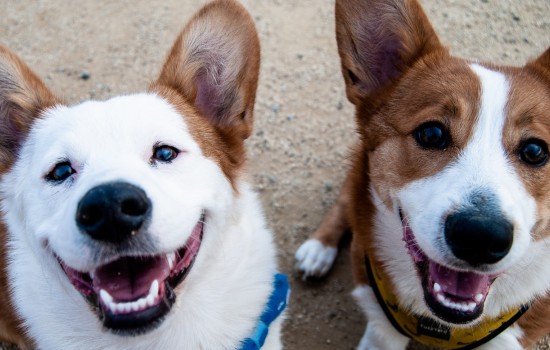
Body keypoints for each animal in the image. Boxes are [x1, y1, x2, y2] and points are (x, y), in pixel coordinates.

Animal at [300, 0, 550, 348]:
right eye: (432, 134)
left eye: (535, 151)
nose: (480, 236)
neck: (443, 327)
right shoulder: (381, 328)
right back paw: (318, 249)